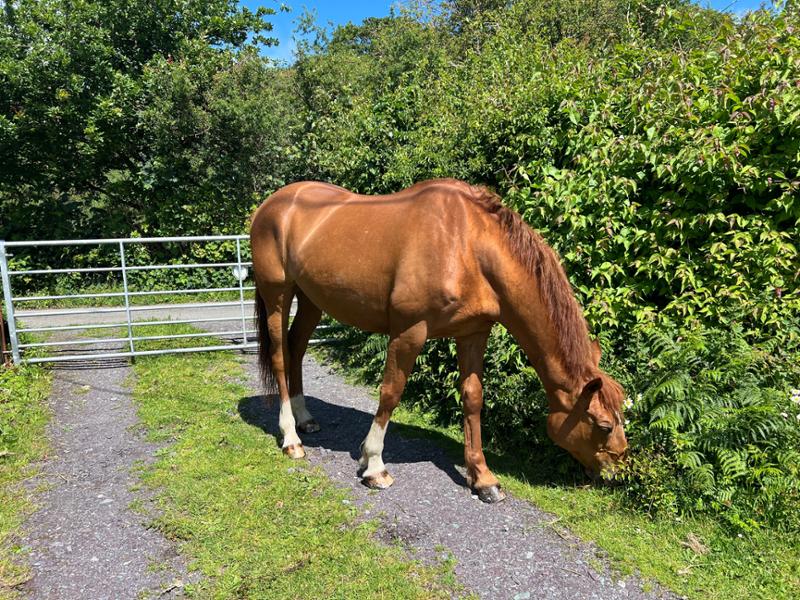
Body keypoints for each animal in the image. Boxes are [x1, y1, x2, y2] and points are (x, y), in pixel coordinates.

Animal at [249, 179, 628, 503]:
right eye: (604, 425)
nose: (617, 473)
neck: (469, 246)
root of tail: (272, 204)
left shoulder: (473, 333)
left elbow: (473, 399)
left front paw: (482, 478)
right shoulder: (410, 331)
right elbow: (391, 392)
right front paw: (374, 465)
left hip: (311, 300)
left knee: (297, 349)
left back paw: (305, 418)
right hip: (278, 295)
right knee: (281, 356)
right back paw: (291, 438)